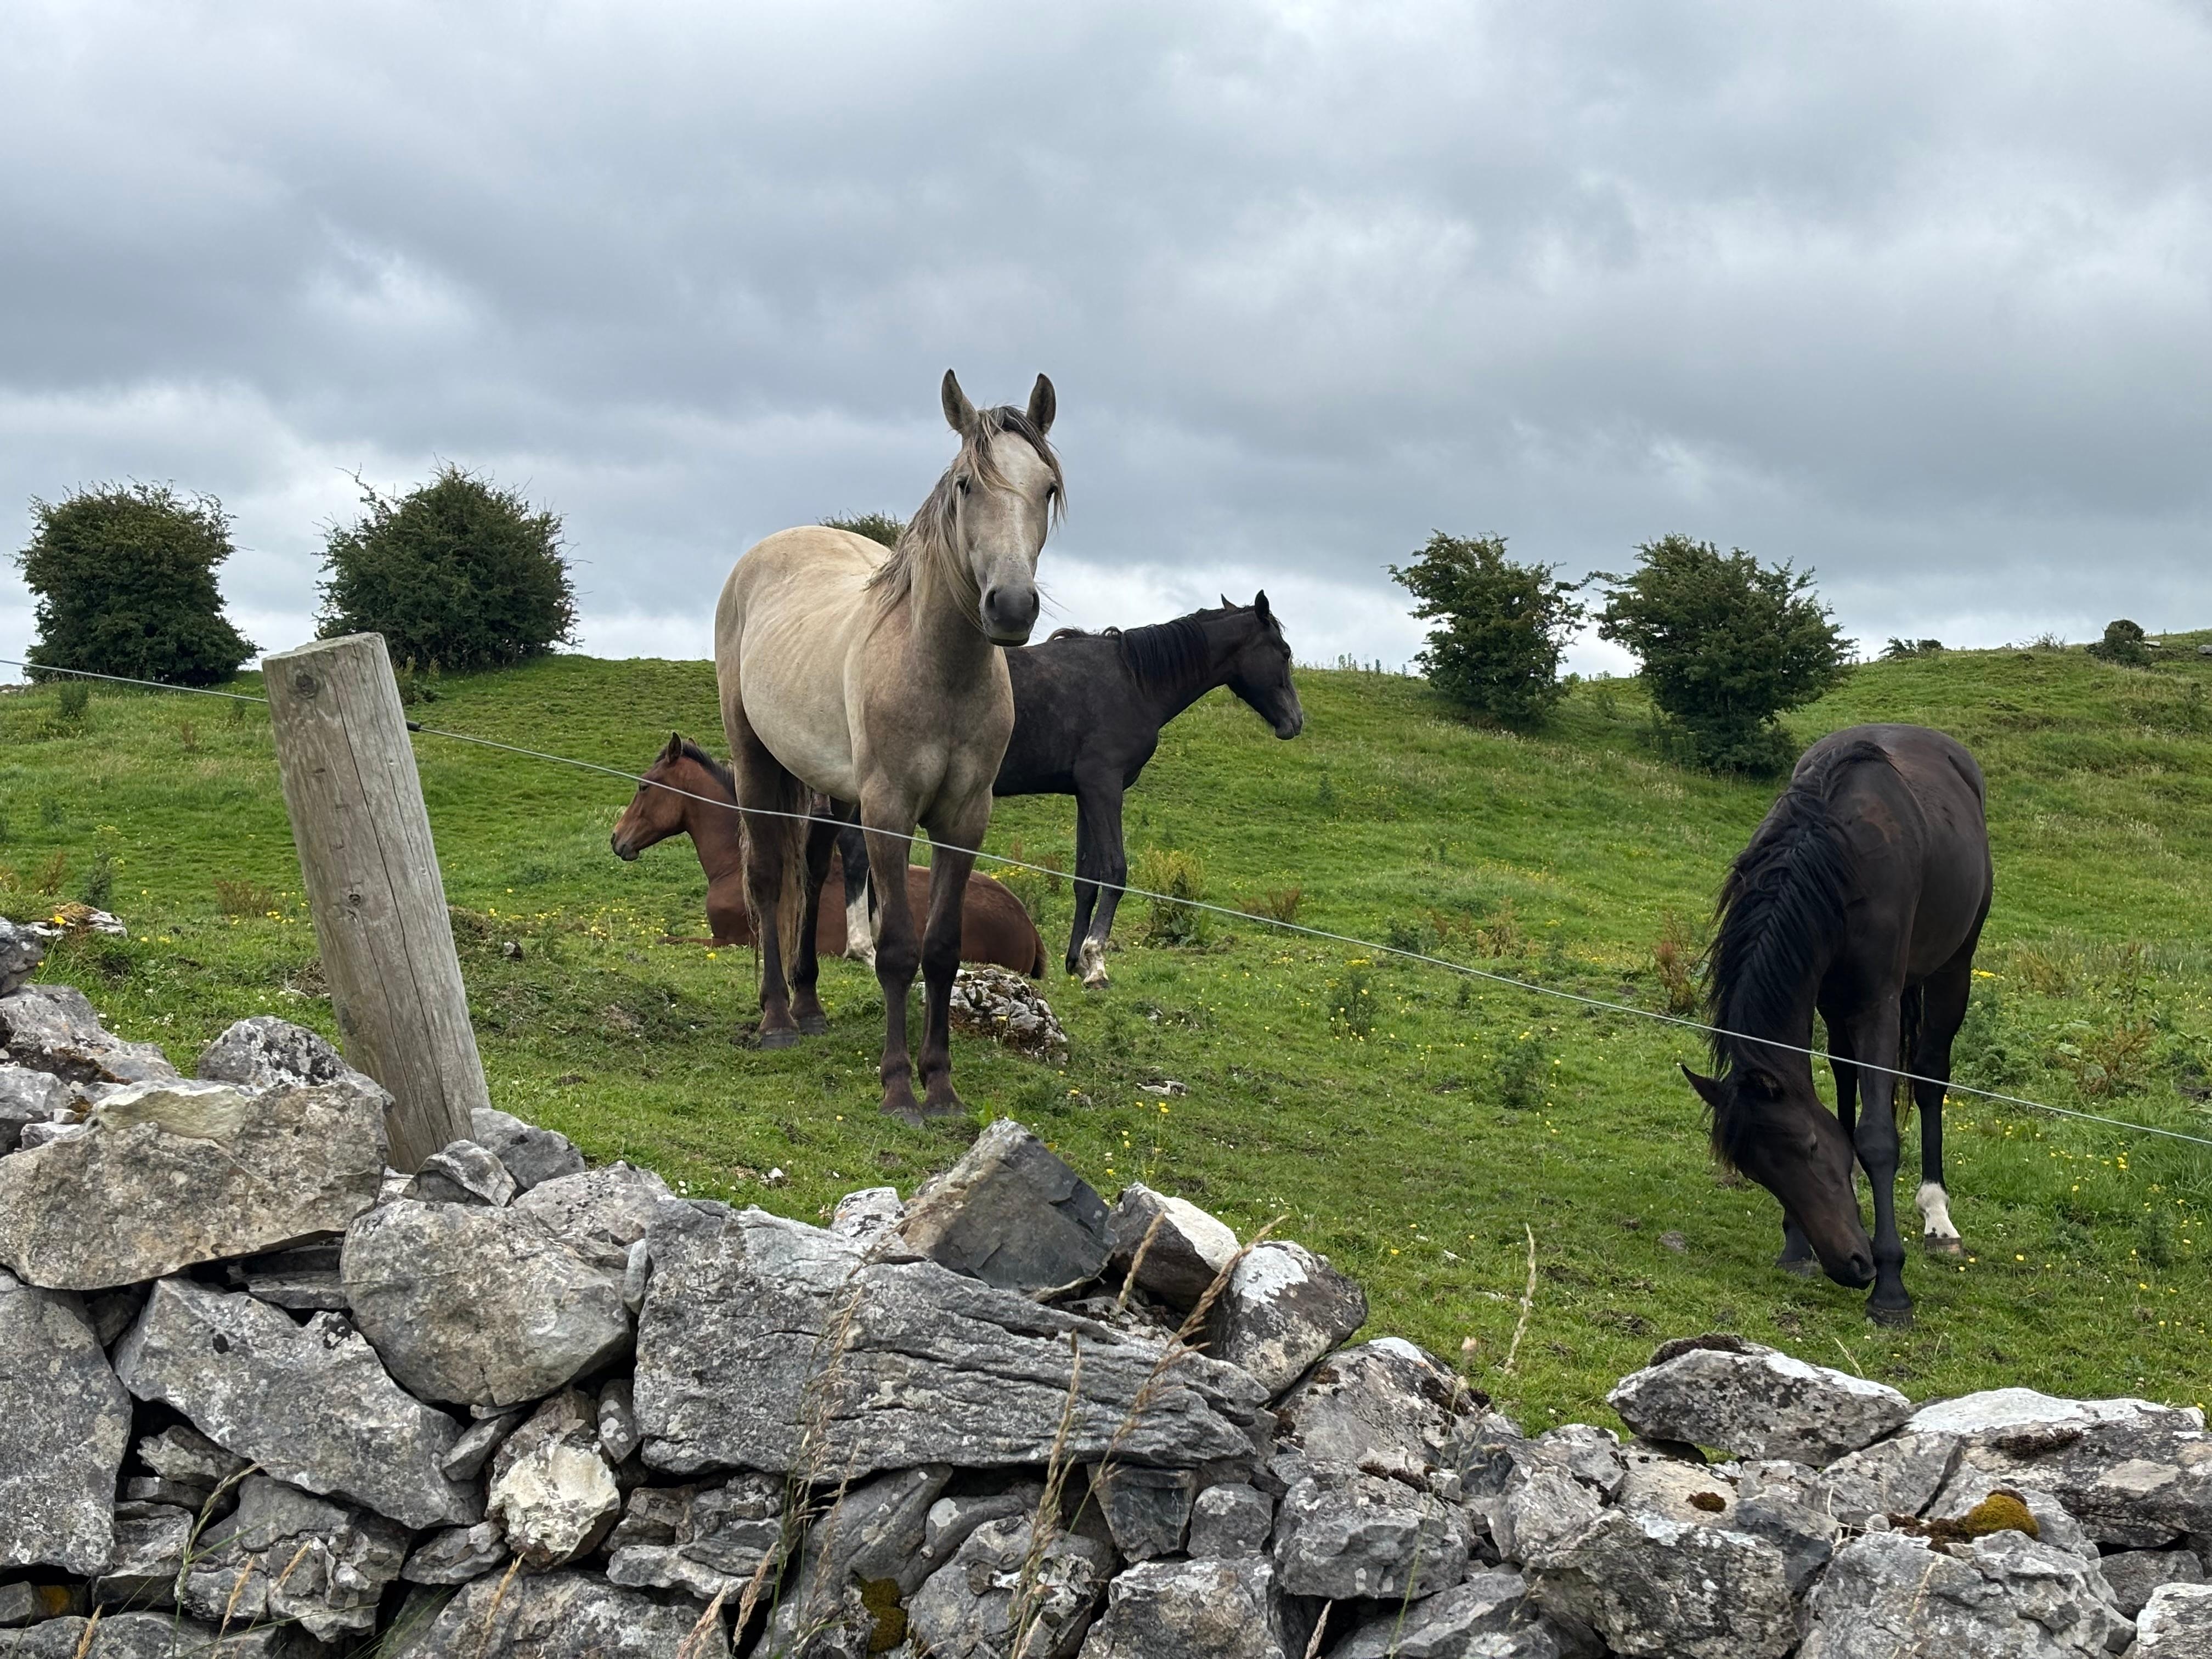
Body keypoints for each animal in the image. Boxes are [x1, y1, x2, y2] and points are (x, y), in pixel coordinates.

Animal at [607, 734, 1047, 976]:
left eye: (644, 786)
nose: (617, 840)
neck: (734, 866)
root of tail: (1027, 923)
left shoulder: (733, 940)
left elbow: (669, 938)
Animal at [714, 370, 1061, 1123]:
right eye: (966, 484)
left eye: (1048, 487)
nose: (1011, 606)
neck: (936, 668)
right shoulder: (890, 812)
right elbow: (897, 948)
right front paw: (900, 1086)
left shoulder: (965, 819)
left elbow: (943, 950)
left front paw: (943, 1087)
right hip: (756, 759)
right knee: (768, 877)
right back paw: (777, 1019)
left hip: (830, 786)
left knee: (812, 870)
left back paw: (809, 1006)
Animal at [836, 596, 1304, 986]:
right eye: (1284, 653)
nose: (1295, 722)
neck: (1134, 682)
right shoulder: (1104, 786)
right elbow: (1114, 871)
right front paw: (1096, 962)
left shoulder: (1085, 793)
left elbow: (1086, 879)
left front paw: (1076, 959)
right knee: (859, 851)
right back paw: (865, 947)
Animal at [1682, 724, 1993, 1327]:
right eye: (1758, 1172)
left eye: (1808, 1148)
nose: (1850, 1266)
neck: (1835, 853)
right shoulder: (1820, 992)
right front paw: (1795, 1245)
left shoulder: (1878, 1002)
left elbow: (1876, 1137)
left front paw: (1891, 1289)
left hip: (1953, 969)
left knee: (1929, 1079)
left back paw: (1937, 1217)